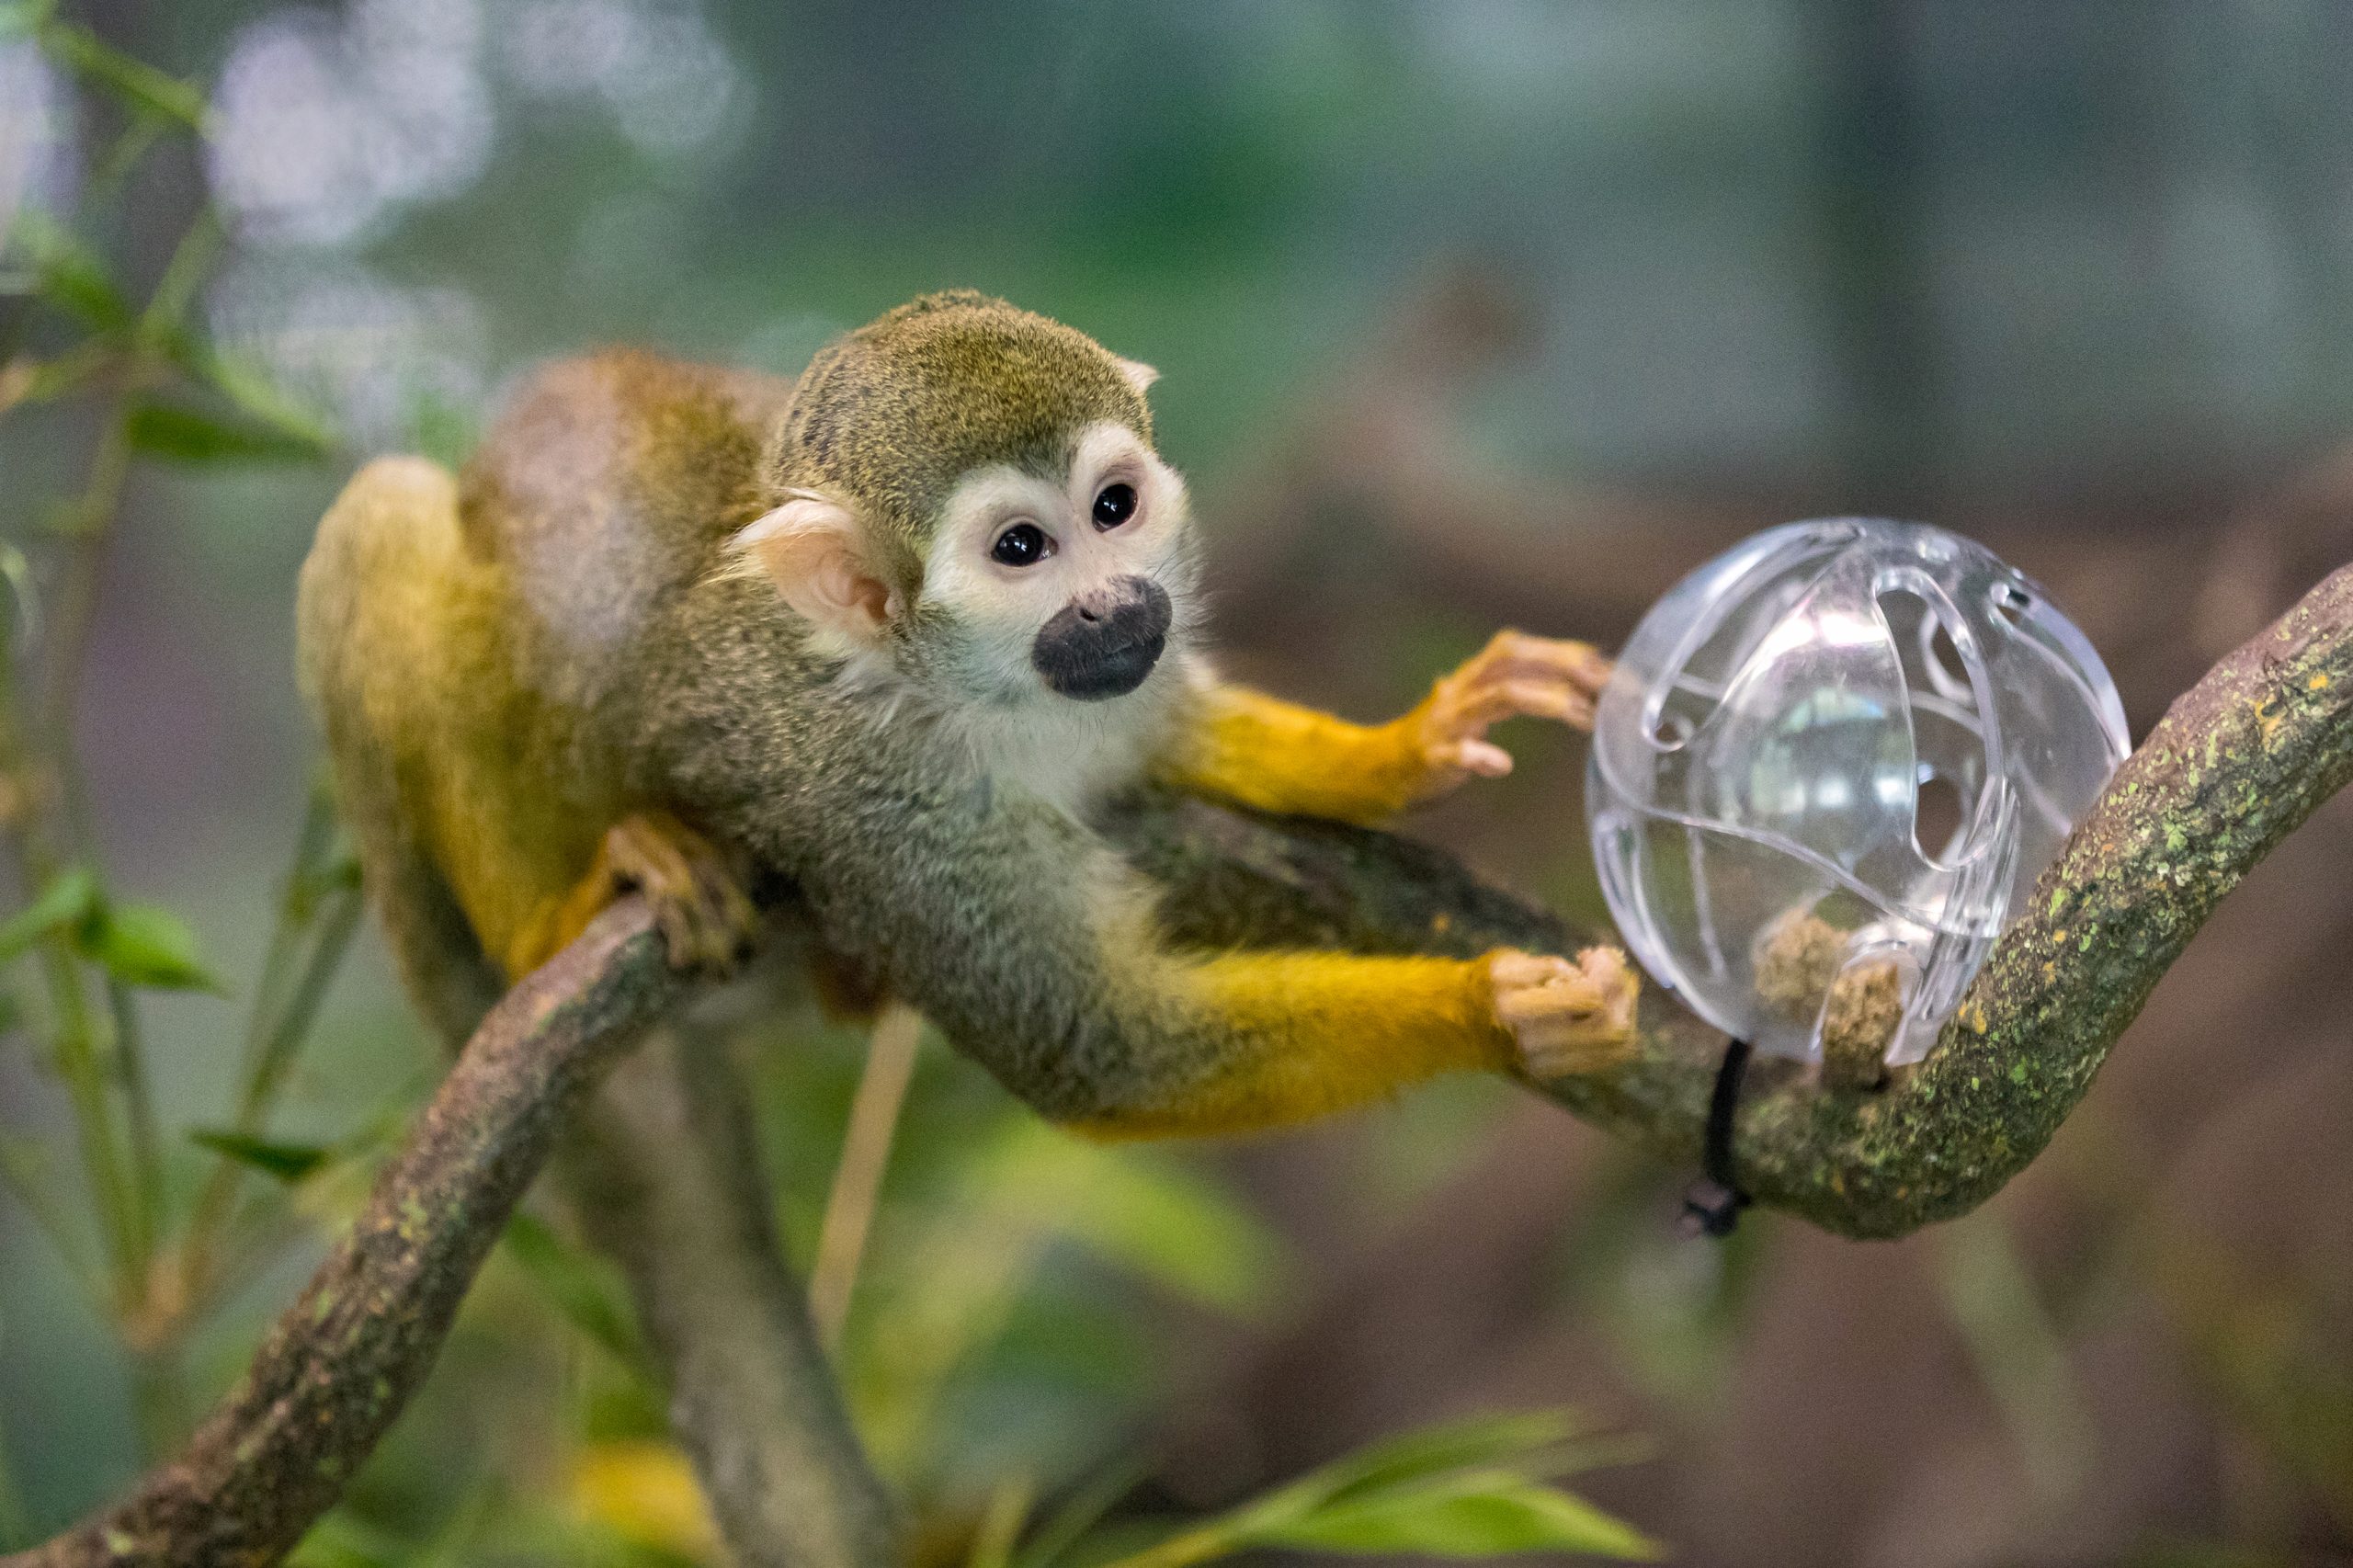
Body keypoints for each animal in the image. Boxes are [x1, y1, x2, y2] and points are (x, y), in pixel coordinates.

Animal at [296, 291, 1640, 1139]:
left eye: (1113, 509)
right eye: (1020, 549)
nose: (1114, 604)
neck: (951, 690)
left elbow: (1168, 733)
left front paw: (1405, 747)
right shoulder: (872, 807)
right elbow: (1104, 1053)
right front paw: (1496, 1013)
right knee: (381, 515)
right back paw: (575, 905)